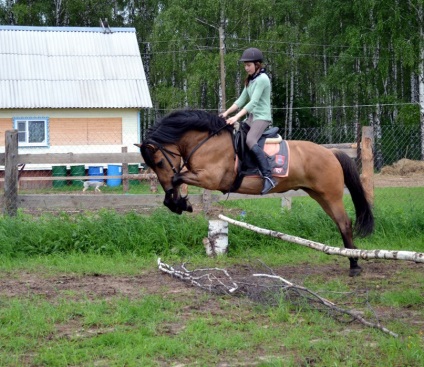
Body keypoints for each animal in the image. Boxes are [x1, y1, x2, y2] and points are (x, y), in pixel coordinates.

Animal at [137, 109, 374, 276]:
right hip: (319, 195)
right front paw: (177, 202)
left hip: (330, 195)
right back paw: (352, 259)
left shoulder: (211, 178)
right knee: (340, 223)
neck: (205, 141)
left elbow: (177, 178)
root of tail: (331, 152)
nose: (166, 189)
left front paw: (180, 203)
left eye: (159, 162)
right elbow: (177, 181)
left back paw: (354, 264)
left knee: (345, 223)